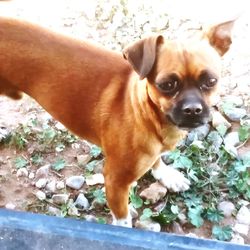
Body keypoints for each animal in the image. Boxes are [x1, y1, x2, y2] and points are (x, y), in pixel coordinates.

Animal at [0, 16, 234, 227]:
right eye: (167, 85)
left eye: (211, 81)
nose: (192, 109)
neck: (148, 115)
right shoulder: (115, 182)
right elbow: (123, 219)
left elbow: (157, 160)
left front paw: (166, 175)